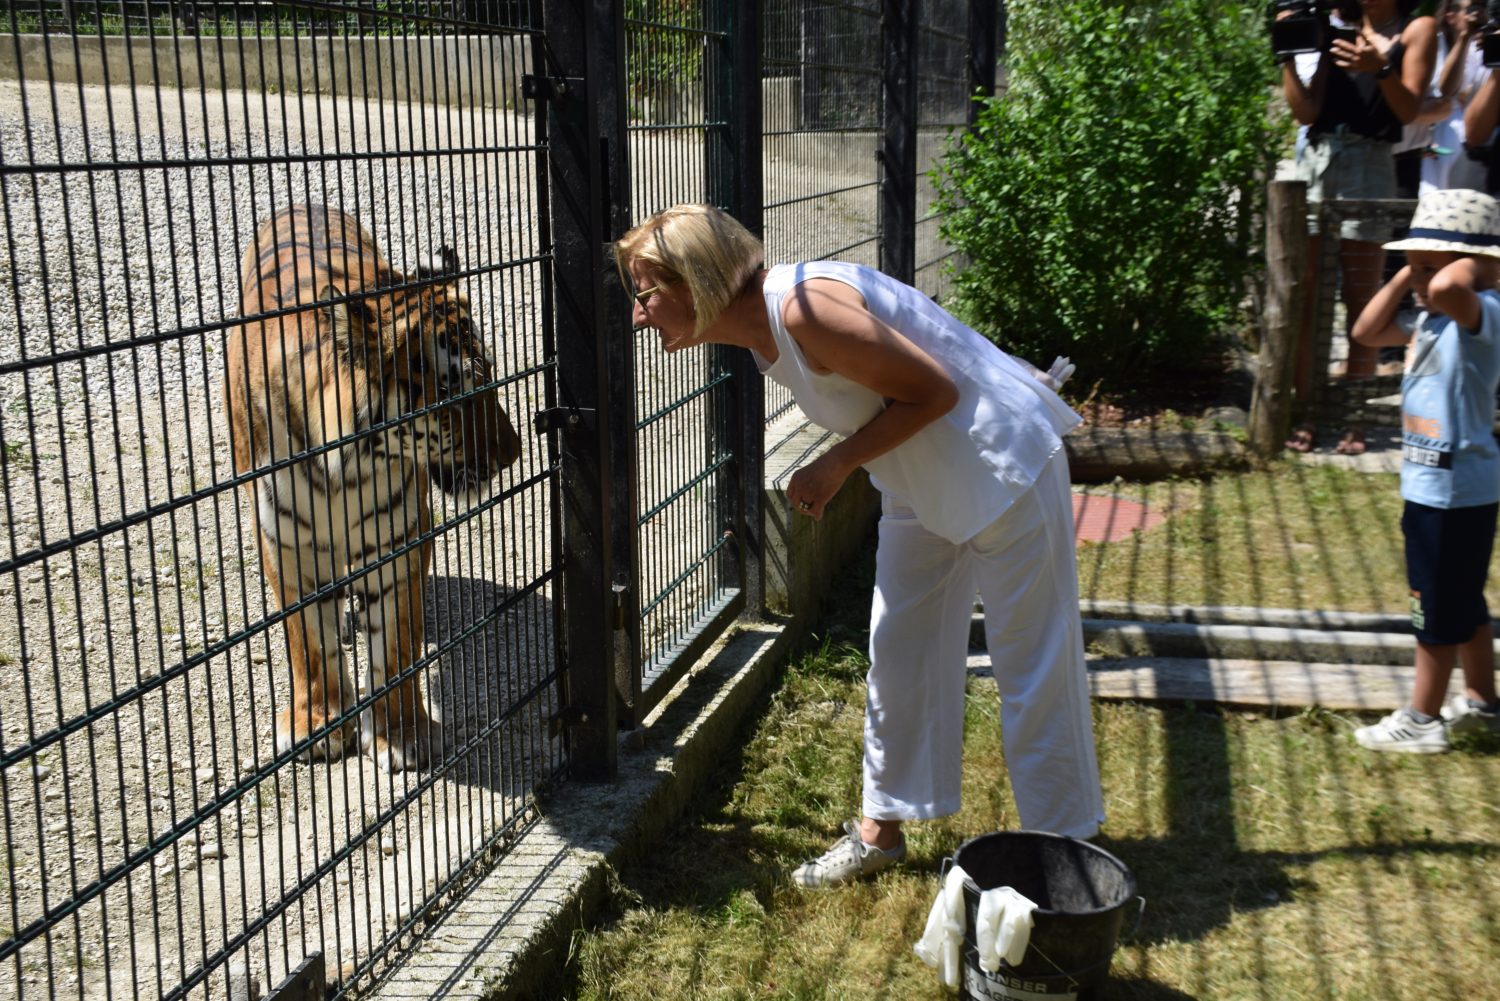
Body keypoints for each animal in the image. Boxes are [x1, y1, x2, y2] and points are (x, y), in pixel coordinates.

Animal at [226, 204, 522, 772]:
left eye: (492, 376)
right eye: (456, 396)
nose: (514, 453)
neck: (345, 467)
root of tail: (303, 204)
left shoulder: (399, 536)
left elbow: (396, 645)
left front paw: (402, 734)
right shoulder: (284, 541)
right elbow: (308, 643)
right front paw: (317, 724)